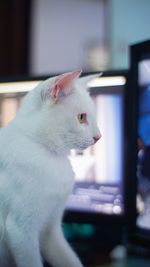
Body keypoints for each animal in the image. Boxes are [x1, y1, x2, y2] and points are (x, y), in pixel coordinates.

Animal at [0, 70, 101, 266]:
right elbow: (32, 262)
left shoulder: (51, 229)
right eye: (82, 118)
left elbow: (69, 259)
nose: (98, 137)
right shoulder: (20, 231)